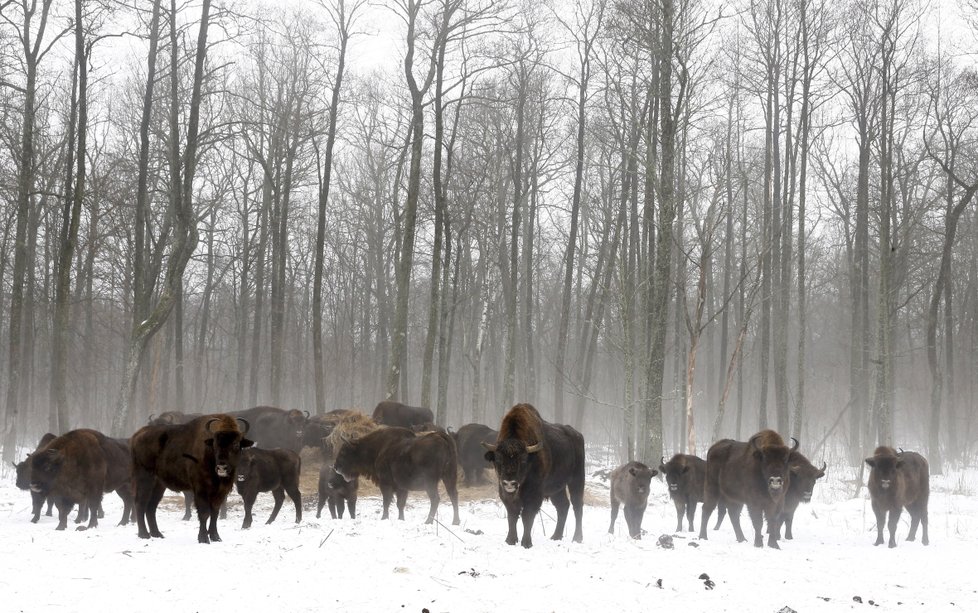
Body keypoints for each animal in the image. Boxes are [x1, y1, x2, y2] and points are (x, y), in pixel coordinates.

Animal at [130, 414, 252, 544]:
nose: (221, 468)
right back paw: (144, 534)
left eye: (236, 444)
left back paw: (157, 534)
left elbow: (214, 512)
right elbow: (204, 513)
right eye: (214, 445)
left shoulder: (220, 492)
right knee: (140, 503)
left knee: (151, 507)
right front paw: (203, 538)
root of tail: (137, 435)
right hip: (145, 479)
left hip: (159, 485)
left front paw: (216, 537)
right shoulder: (200, 489)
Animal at [478, 404, 580, 548]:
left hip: (577, 479)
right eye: (498, 460)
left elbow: (527, 516)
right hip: (557, 489)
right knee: (563, 506)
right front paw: (510, 540)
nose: (509, 483)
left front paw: (526, 543)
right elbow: (512, 515)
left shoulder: (534, 495)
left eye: (523, 460)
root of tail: (577, 435)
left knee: (577, 505)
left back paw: (577, 538)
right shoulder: (505, 494)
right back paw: (556, 536)